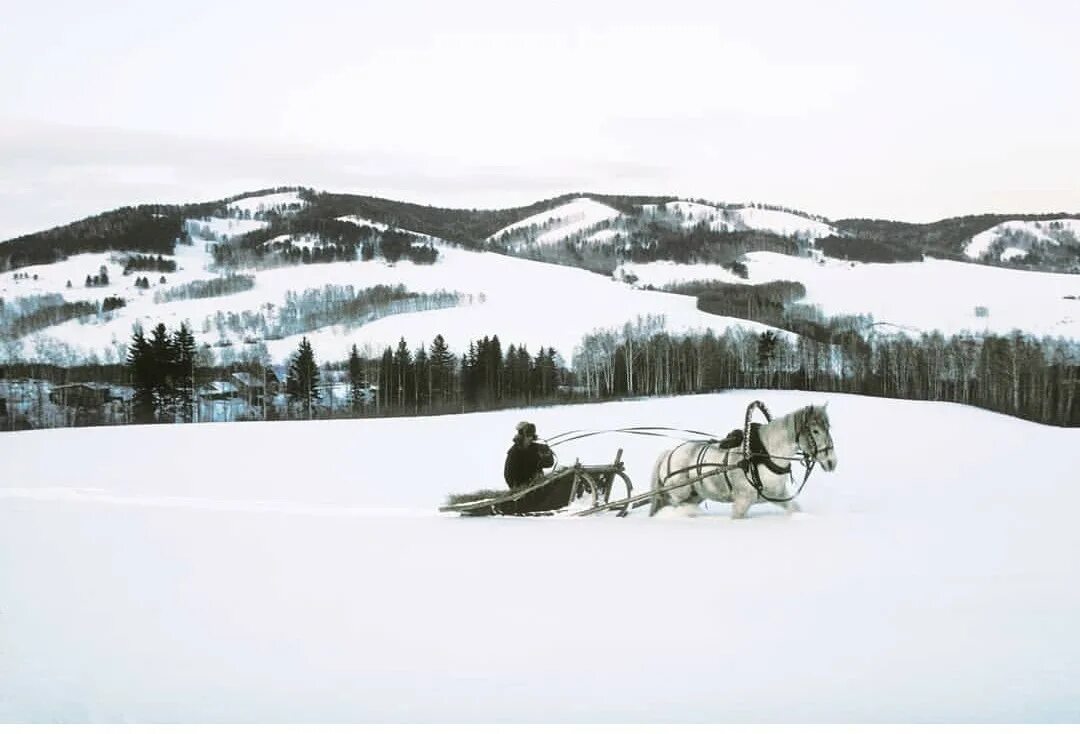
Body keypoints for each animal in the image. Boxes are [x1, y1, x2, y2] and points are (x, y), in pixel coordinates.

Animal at [643, 403, 838, 518]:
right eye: (815, 431)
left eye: (828, 428)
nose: (832, 462)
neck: (762, 454)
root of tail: (669, 453)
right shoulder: (743, 501)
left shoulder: (778, 495)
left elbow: (795, 509)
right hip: (679, 492)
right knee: (675, 504)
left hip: (696, 494)